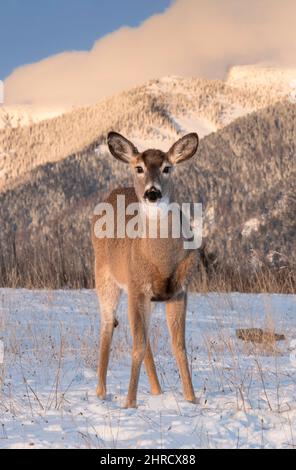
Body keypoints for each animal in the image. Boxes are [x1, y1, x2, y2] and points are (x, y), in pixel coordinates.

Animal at [91, 131, 200, 408]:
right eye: (139, 168)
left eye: (167, 168)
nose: (152, 193)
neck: (161, 262)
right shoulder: (137, 287)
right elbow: (137, 346)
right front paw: (129, 403)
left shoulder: (179, 291)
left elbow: (179, 346)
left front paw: (191, 398)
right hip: (104, 275)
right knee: (107, 325)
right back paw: (101, 391)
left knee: (144, 337)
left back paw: (157, 390)